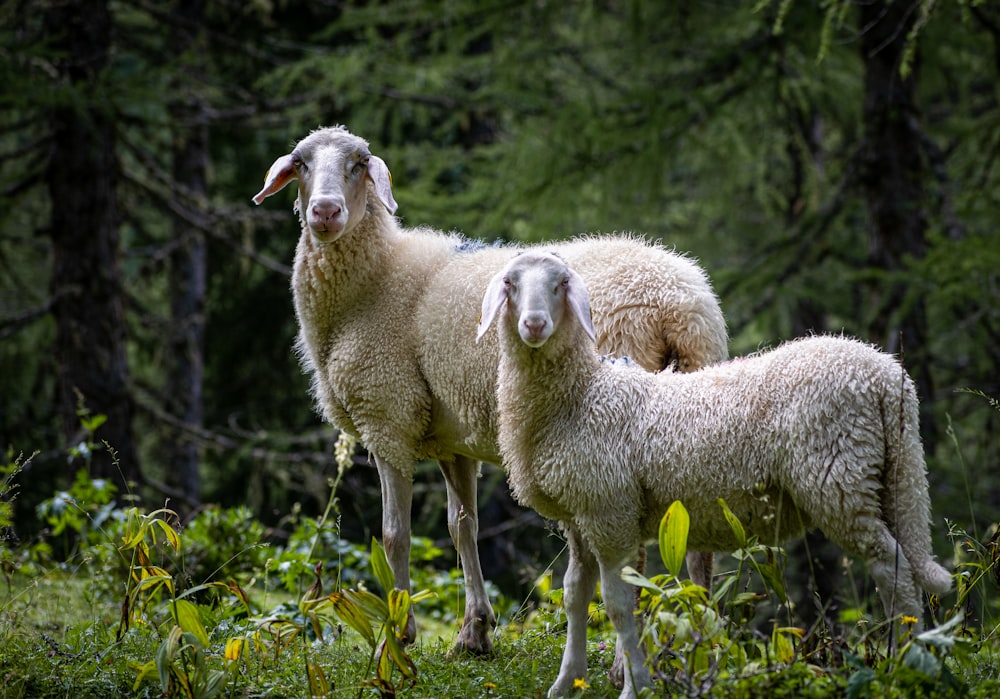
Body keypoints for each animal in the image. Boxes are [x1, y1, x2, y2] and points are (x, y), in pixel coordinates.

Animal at [254, 127, 732, 660]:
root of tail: (678, 303)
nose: (324, 212)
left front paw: (398, 635)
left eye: (359, 165)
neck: (373, 282)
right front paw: (474, 632)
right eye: (301, 164)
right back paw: (699, 641)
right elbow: (462, 527)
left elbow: (394, 534)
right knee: (697, 546)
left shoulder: (387, 415)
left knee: (635, 553)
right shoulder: (451, 439)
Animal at [480, 252, 956, 699]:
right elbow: (574, 595)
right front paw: (566, 683)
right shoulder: (579, 516)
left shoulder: (610, 513)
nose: (535, 324)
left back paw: (905, 663)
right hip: (889, 476)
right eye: (510, 283)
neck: (583, 396)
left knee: (891, 567)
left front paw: (636, 686)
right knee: (902, 560)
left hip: (839, 478)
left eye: (561, 284)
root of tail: (885, 376)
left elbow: (619, 604)